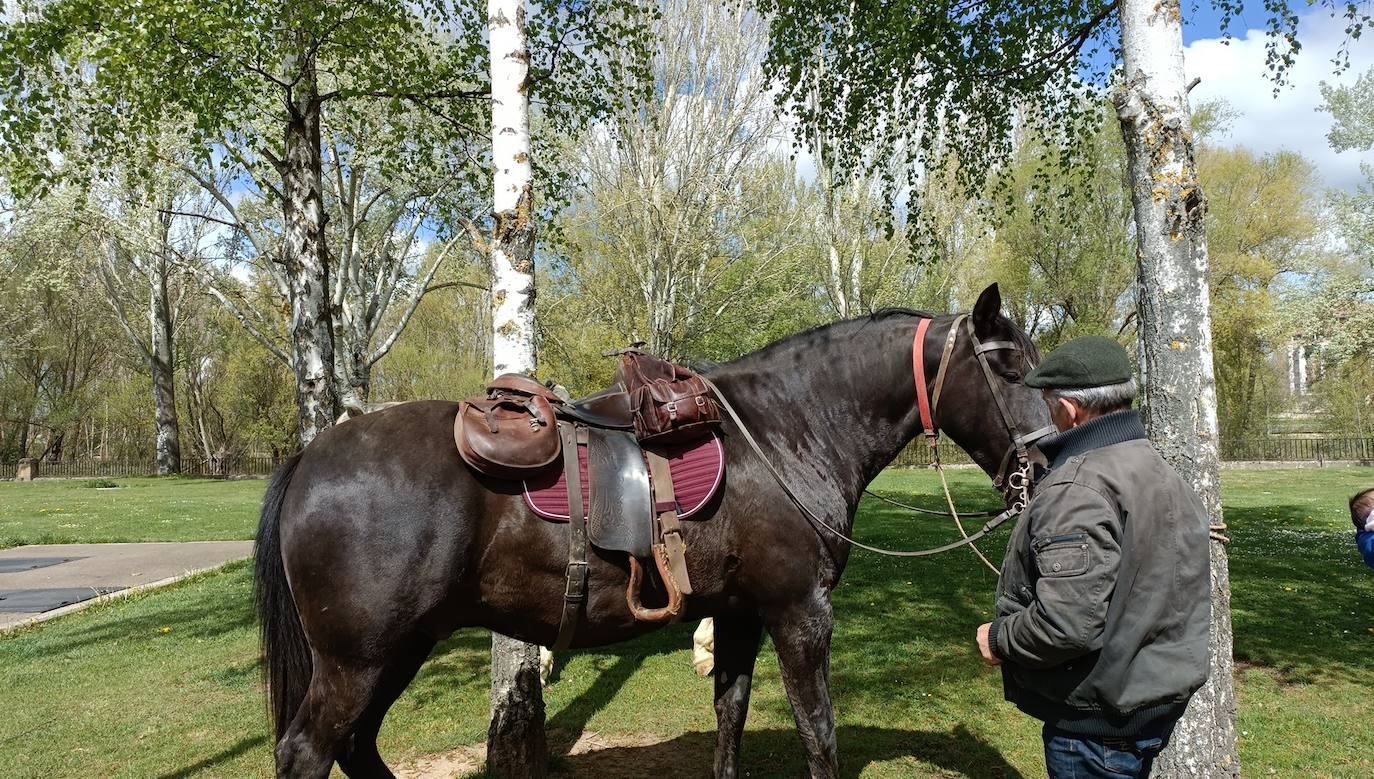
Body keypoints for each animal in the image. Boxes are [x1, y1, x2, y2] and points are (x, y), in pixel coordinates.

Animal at [258, 283, 1044, 774]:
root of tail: (310, 457)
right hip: (357, 657)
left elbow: (730, 717)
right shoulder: (800, 612)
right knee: (308, 751)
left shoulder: (739, 614)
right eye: (1009, 367)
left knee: (355, 748)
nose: (1041, 462)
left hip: (399, 647)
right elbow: (819, 735)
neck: (785, 428)